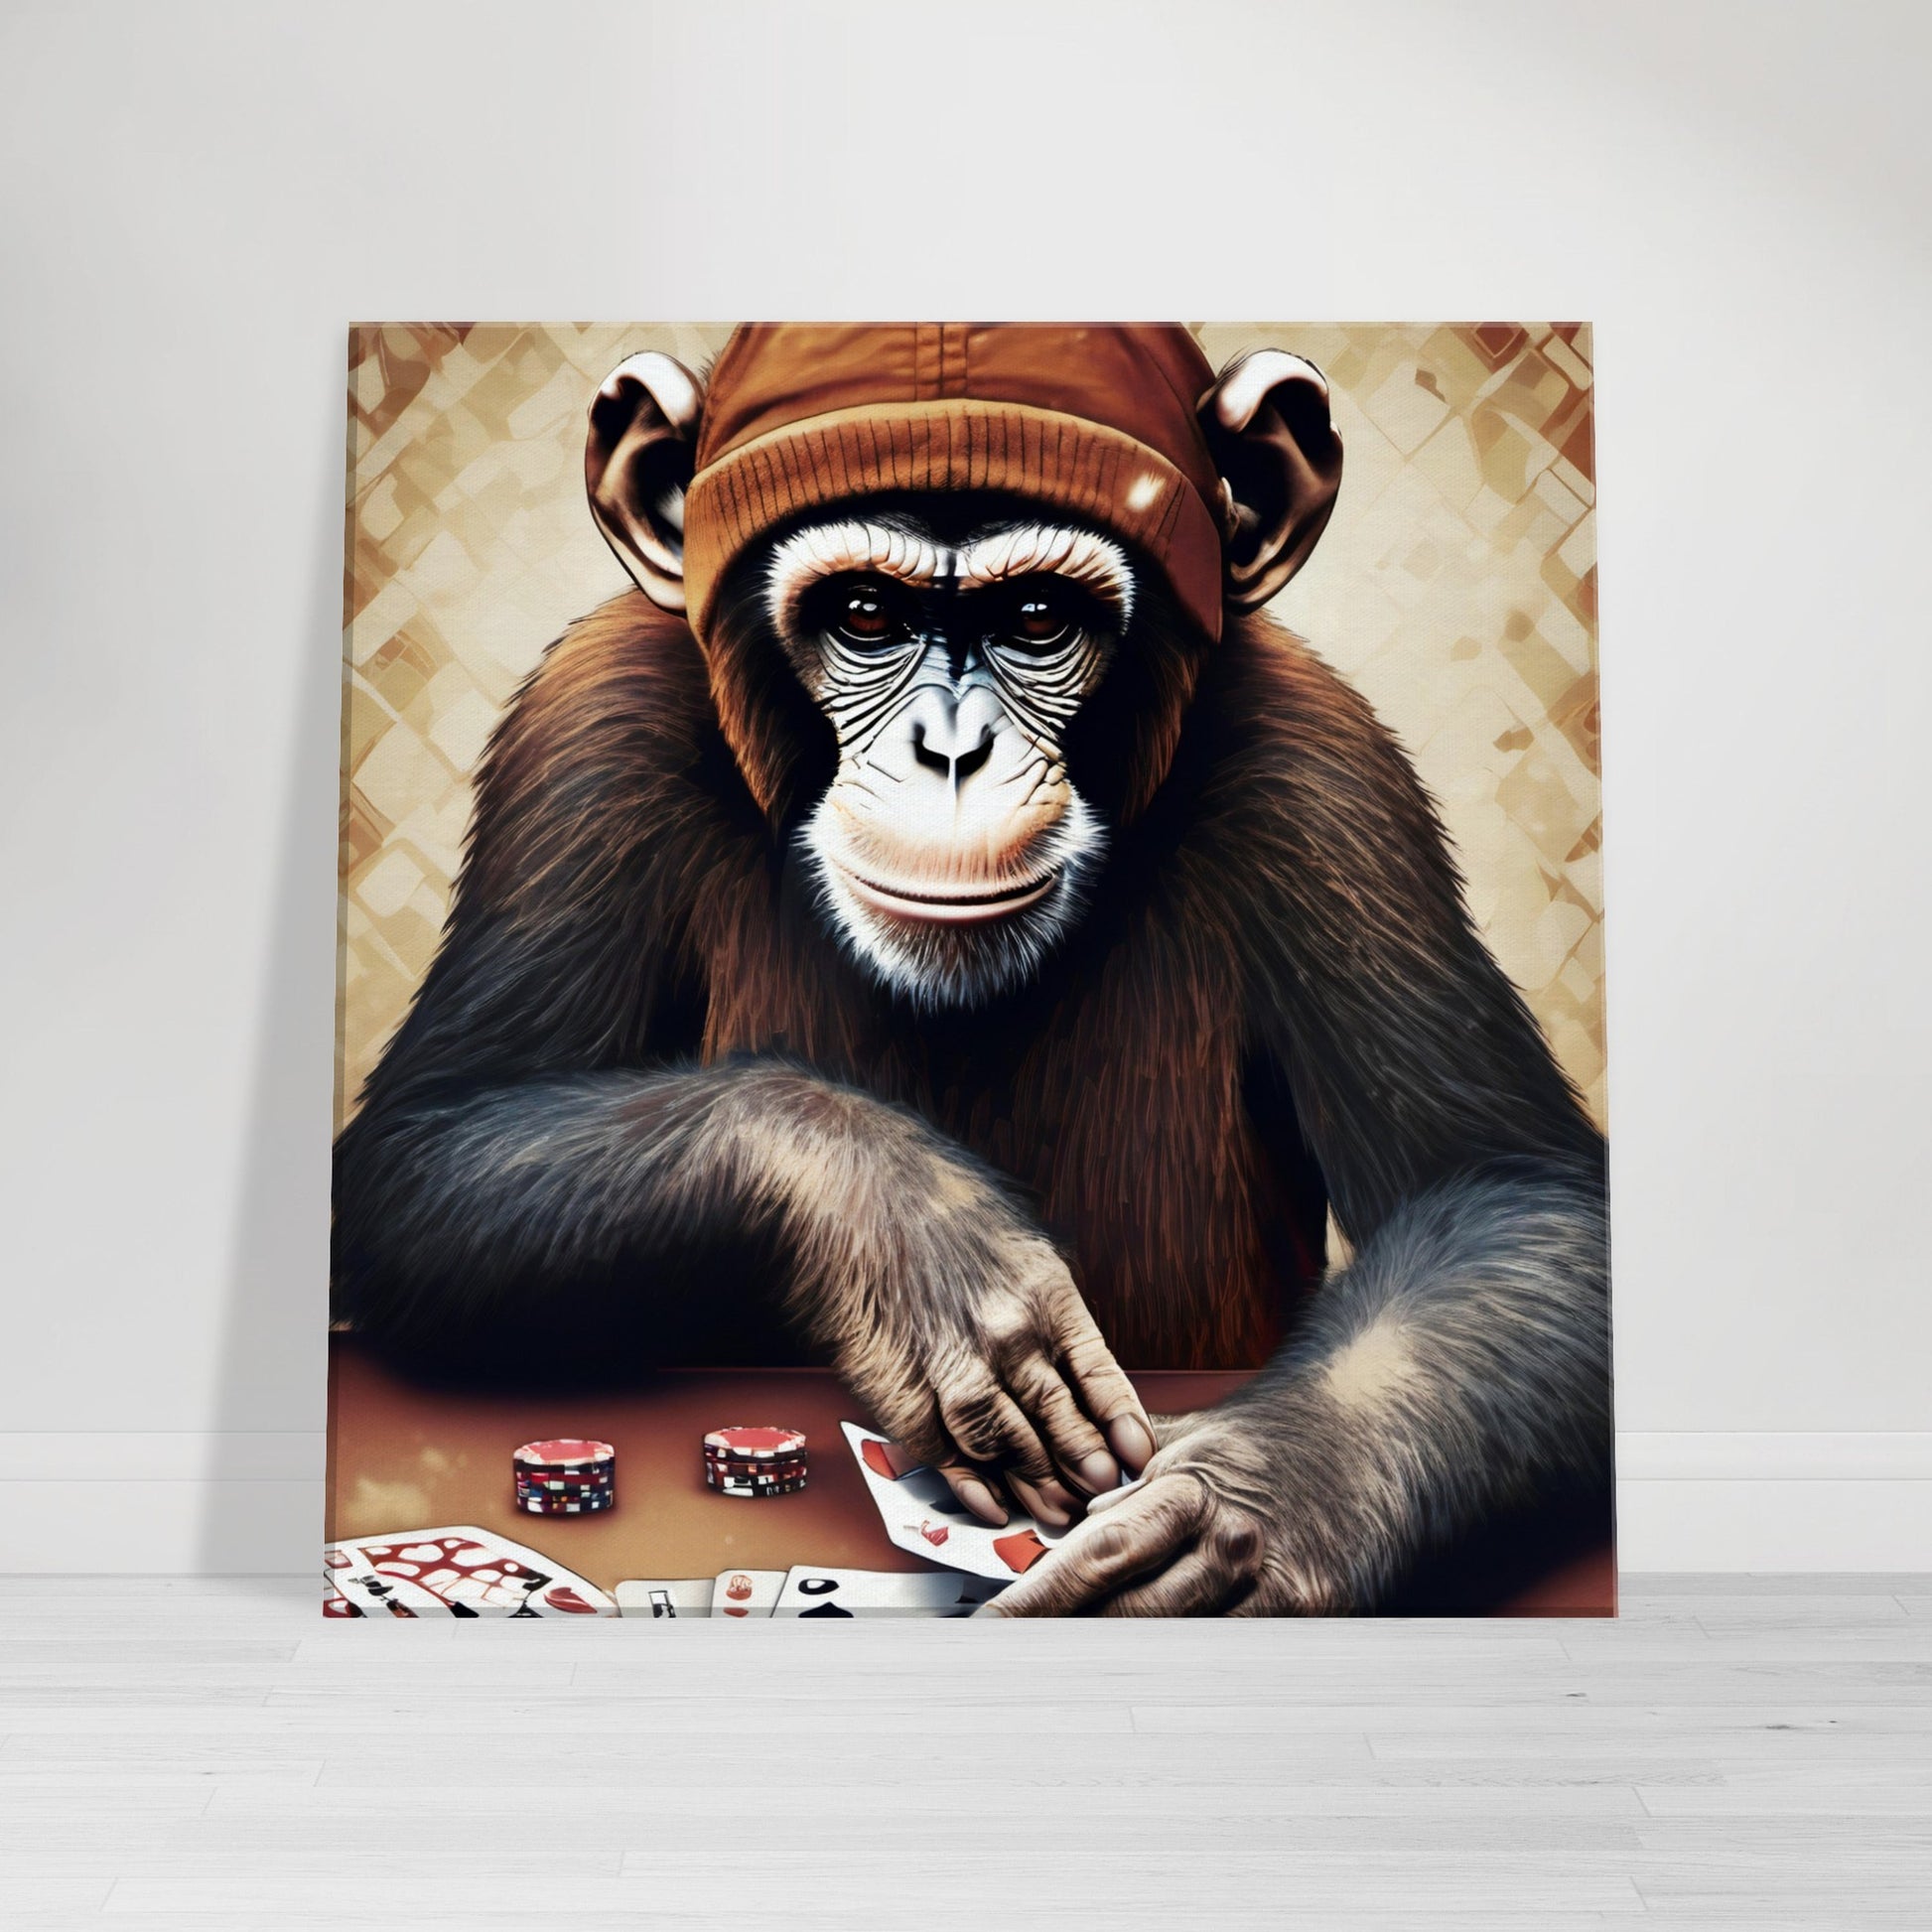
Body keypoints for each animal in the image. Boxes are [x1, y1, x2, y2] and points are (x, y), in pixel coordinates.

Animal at [332, 324, 1610, 1614]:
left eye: (1037, 618)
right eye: (864, 613)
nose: (950, 749)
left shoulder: (1321, 768)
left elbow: (1506, 1188)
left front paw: (1238, 1508)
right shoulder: (589, 725)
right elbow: (430, 1142)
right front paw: (914, 1237)